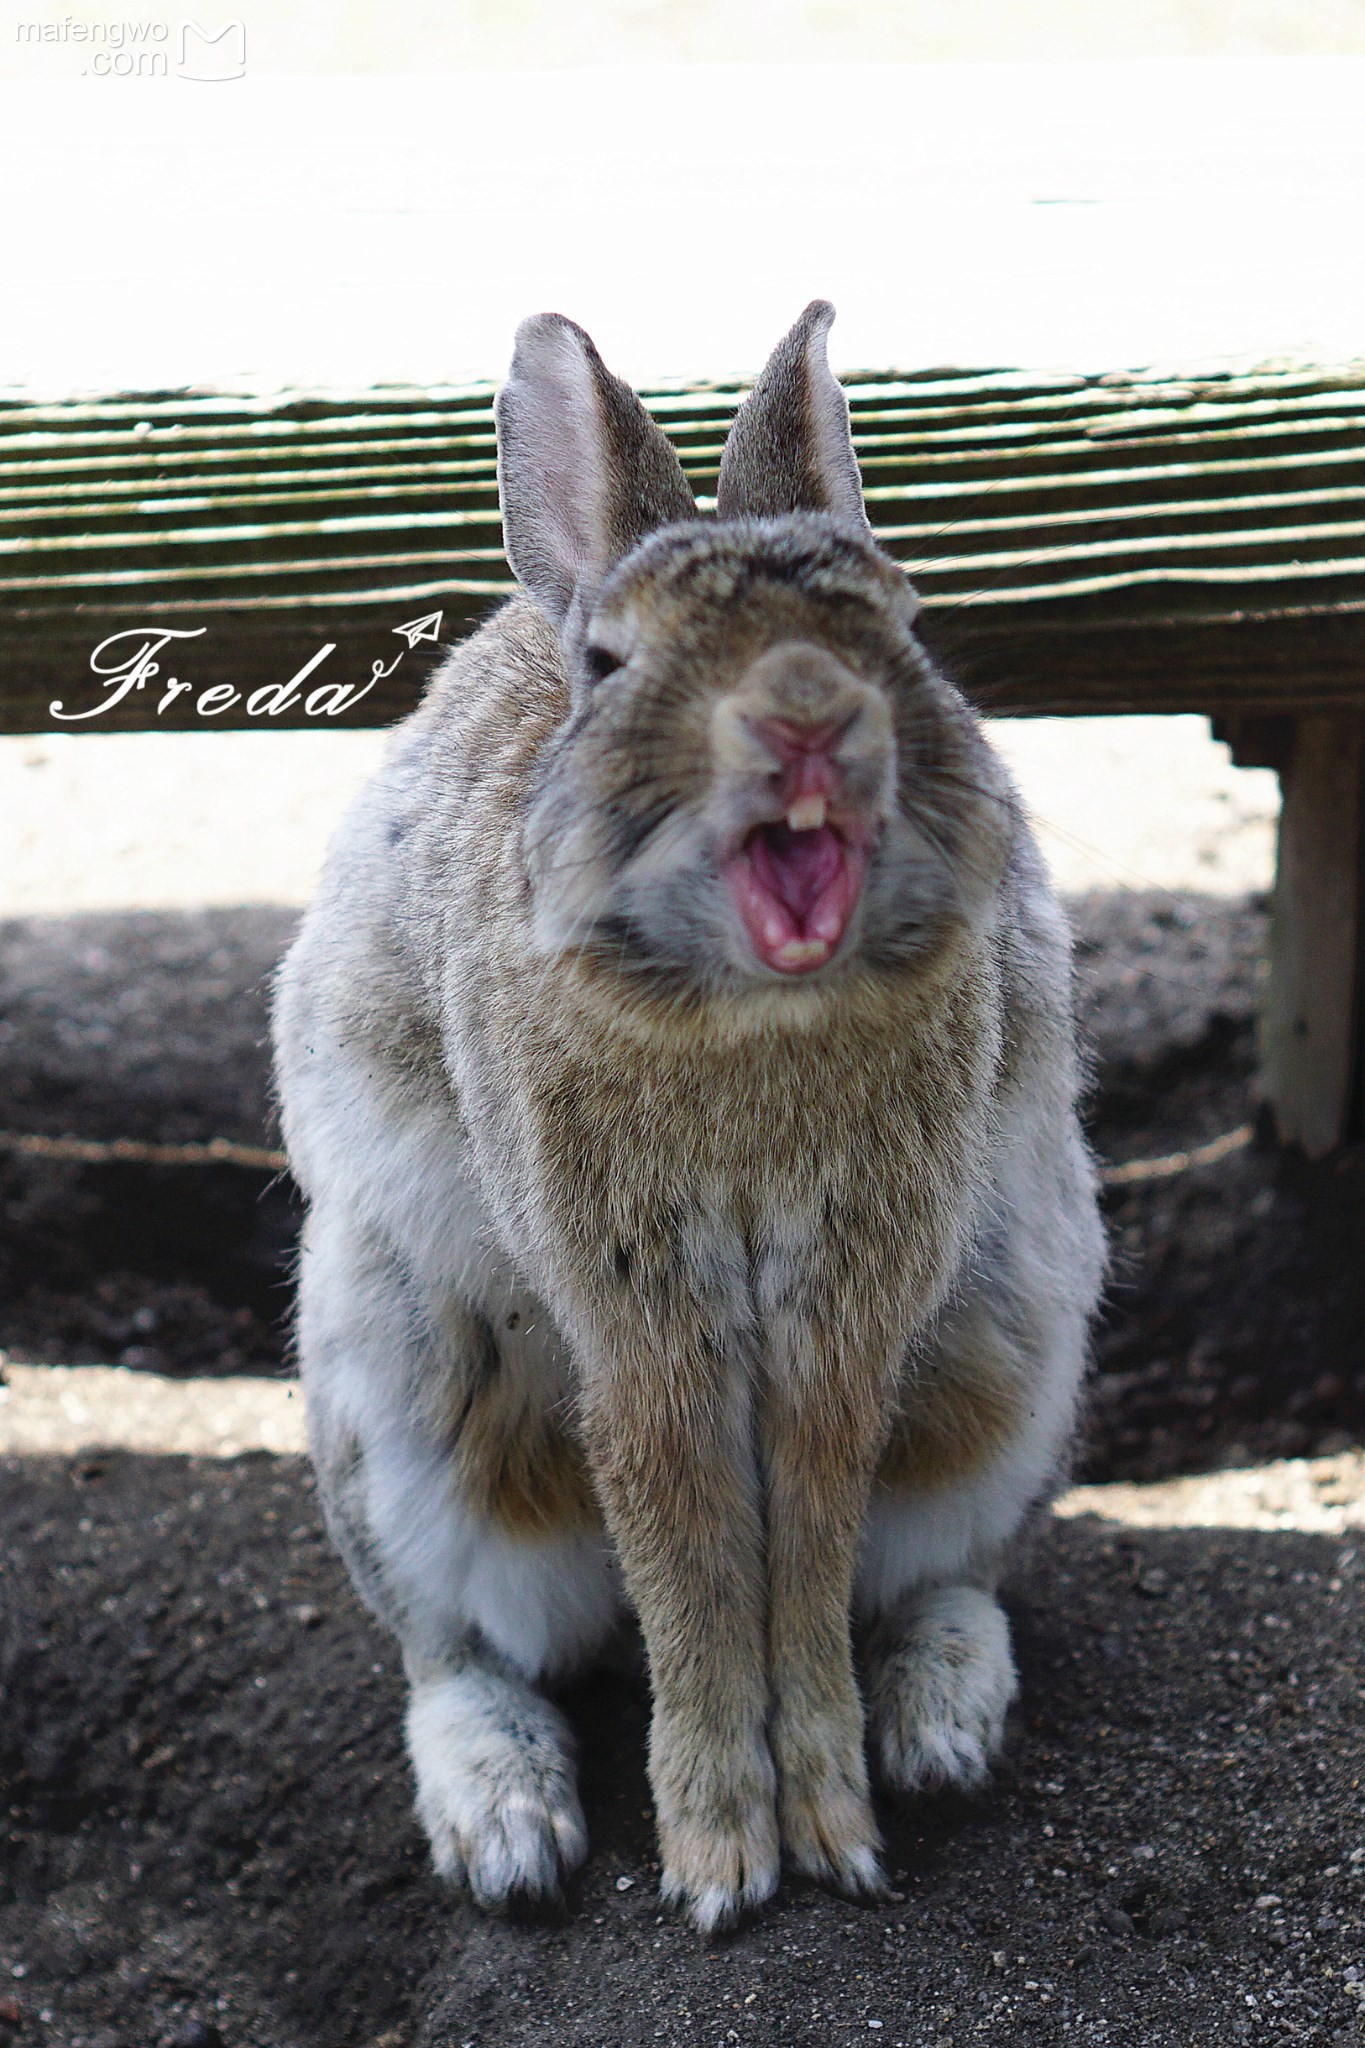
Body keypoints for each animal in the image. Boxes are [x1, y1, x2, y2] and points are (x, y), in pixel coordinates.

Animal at [270, 296, 1113, 1925]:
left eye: (902, 624)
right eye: (609, 662)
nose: (806, 715)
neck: (750, 1012)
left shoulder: (849, 1303)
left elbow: (801, 1545)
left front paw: (832, 1836)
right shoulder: (634, 1315)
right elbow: (689, 1556)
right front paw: (724, 1865)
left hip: (1010, 1349)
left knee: (949, 1564)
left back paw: (940, 1728)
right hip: (398, 1397)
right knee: (451, 1647)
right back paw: (509, 1833)